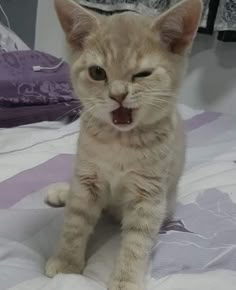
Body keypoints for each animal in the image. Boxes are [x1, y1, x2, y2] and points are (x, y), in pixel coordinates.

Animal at [45, 1, 202, 288]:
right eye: (97, 72)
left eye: (142, 74)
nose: (118, 94)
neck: (120, 141)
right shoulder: (87, 179)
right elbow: (75, 222)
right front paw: (67, 262)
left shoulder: (148, 196)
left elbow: (137, 243)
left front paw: (125, 279)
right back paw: (62, 191)